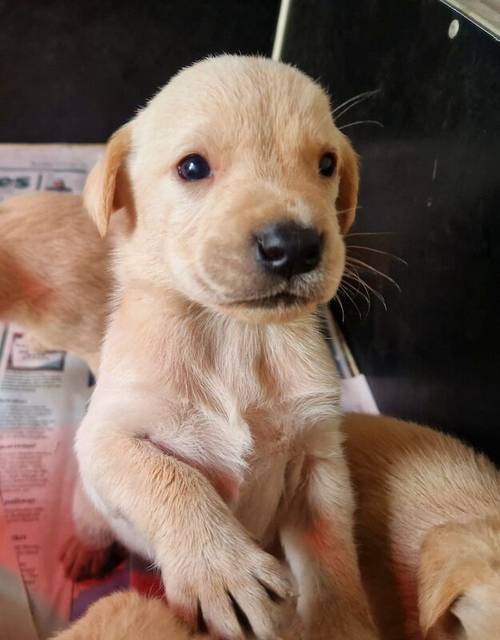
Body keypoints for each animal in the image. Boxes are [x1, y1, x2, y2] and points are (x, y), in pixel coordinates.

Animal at [0, 55, 378, 640]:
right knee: (92, 520)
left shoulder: (319, 459)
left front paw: (343, 621)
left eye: (326, 164)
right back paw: (85, 552)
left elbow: (333, 552)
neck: (232, 336)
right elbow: (170, 477)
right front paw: (221, 569)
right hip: (89, 496)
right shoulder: (106, 434)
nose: (294, 246)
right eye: (193, 167)